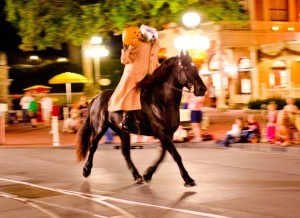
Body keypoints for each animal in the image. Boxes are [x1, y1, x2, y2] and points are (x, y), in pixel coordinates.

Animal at [76, 50, 206, 186]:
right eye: (186, 68)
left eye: (196, 68)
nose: (202, 89)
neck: (162, 101)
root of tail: (96, 97)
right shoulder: (162, 133)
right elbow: (175, 155)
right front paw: (188, 178)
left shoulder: (167, 134)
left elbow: (162, 155)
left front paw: (148, 174)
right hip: (99, 128)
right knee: (93, 146)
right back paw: (86, 170)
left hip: (122, 131)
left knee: (125, 153)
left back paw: (137, 175)